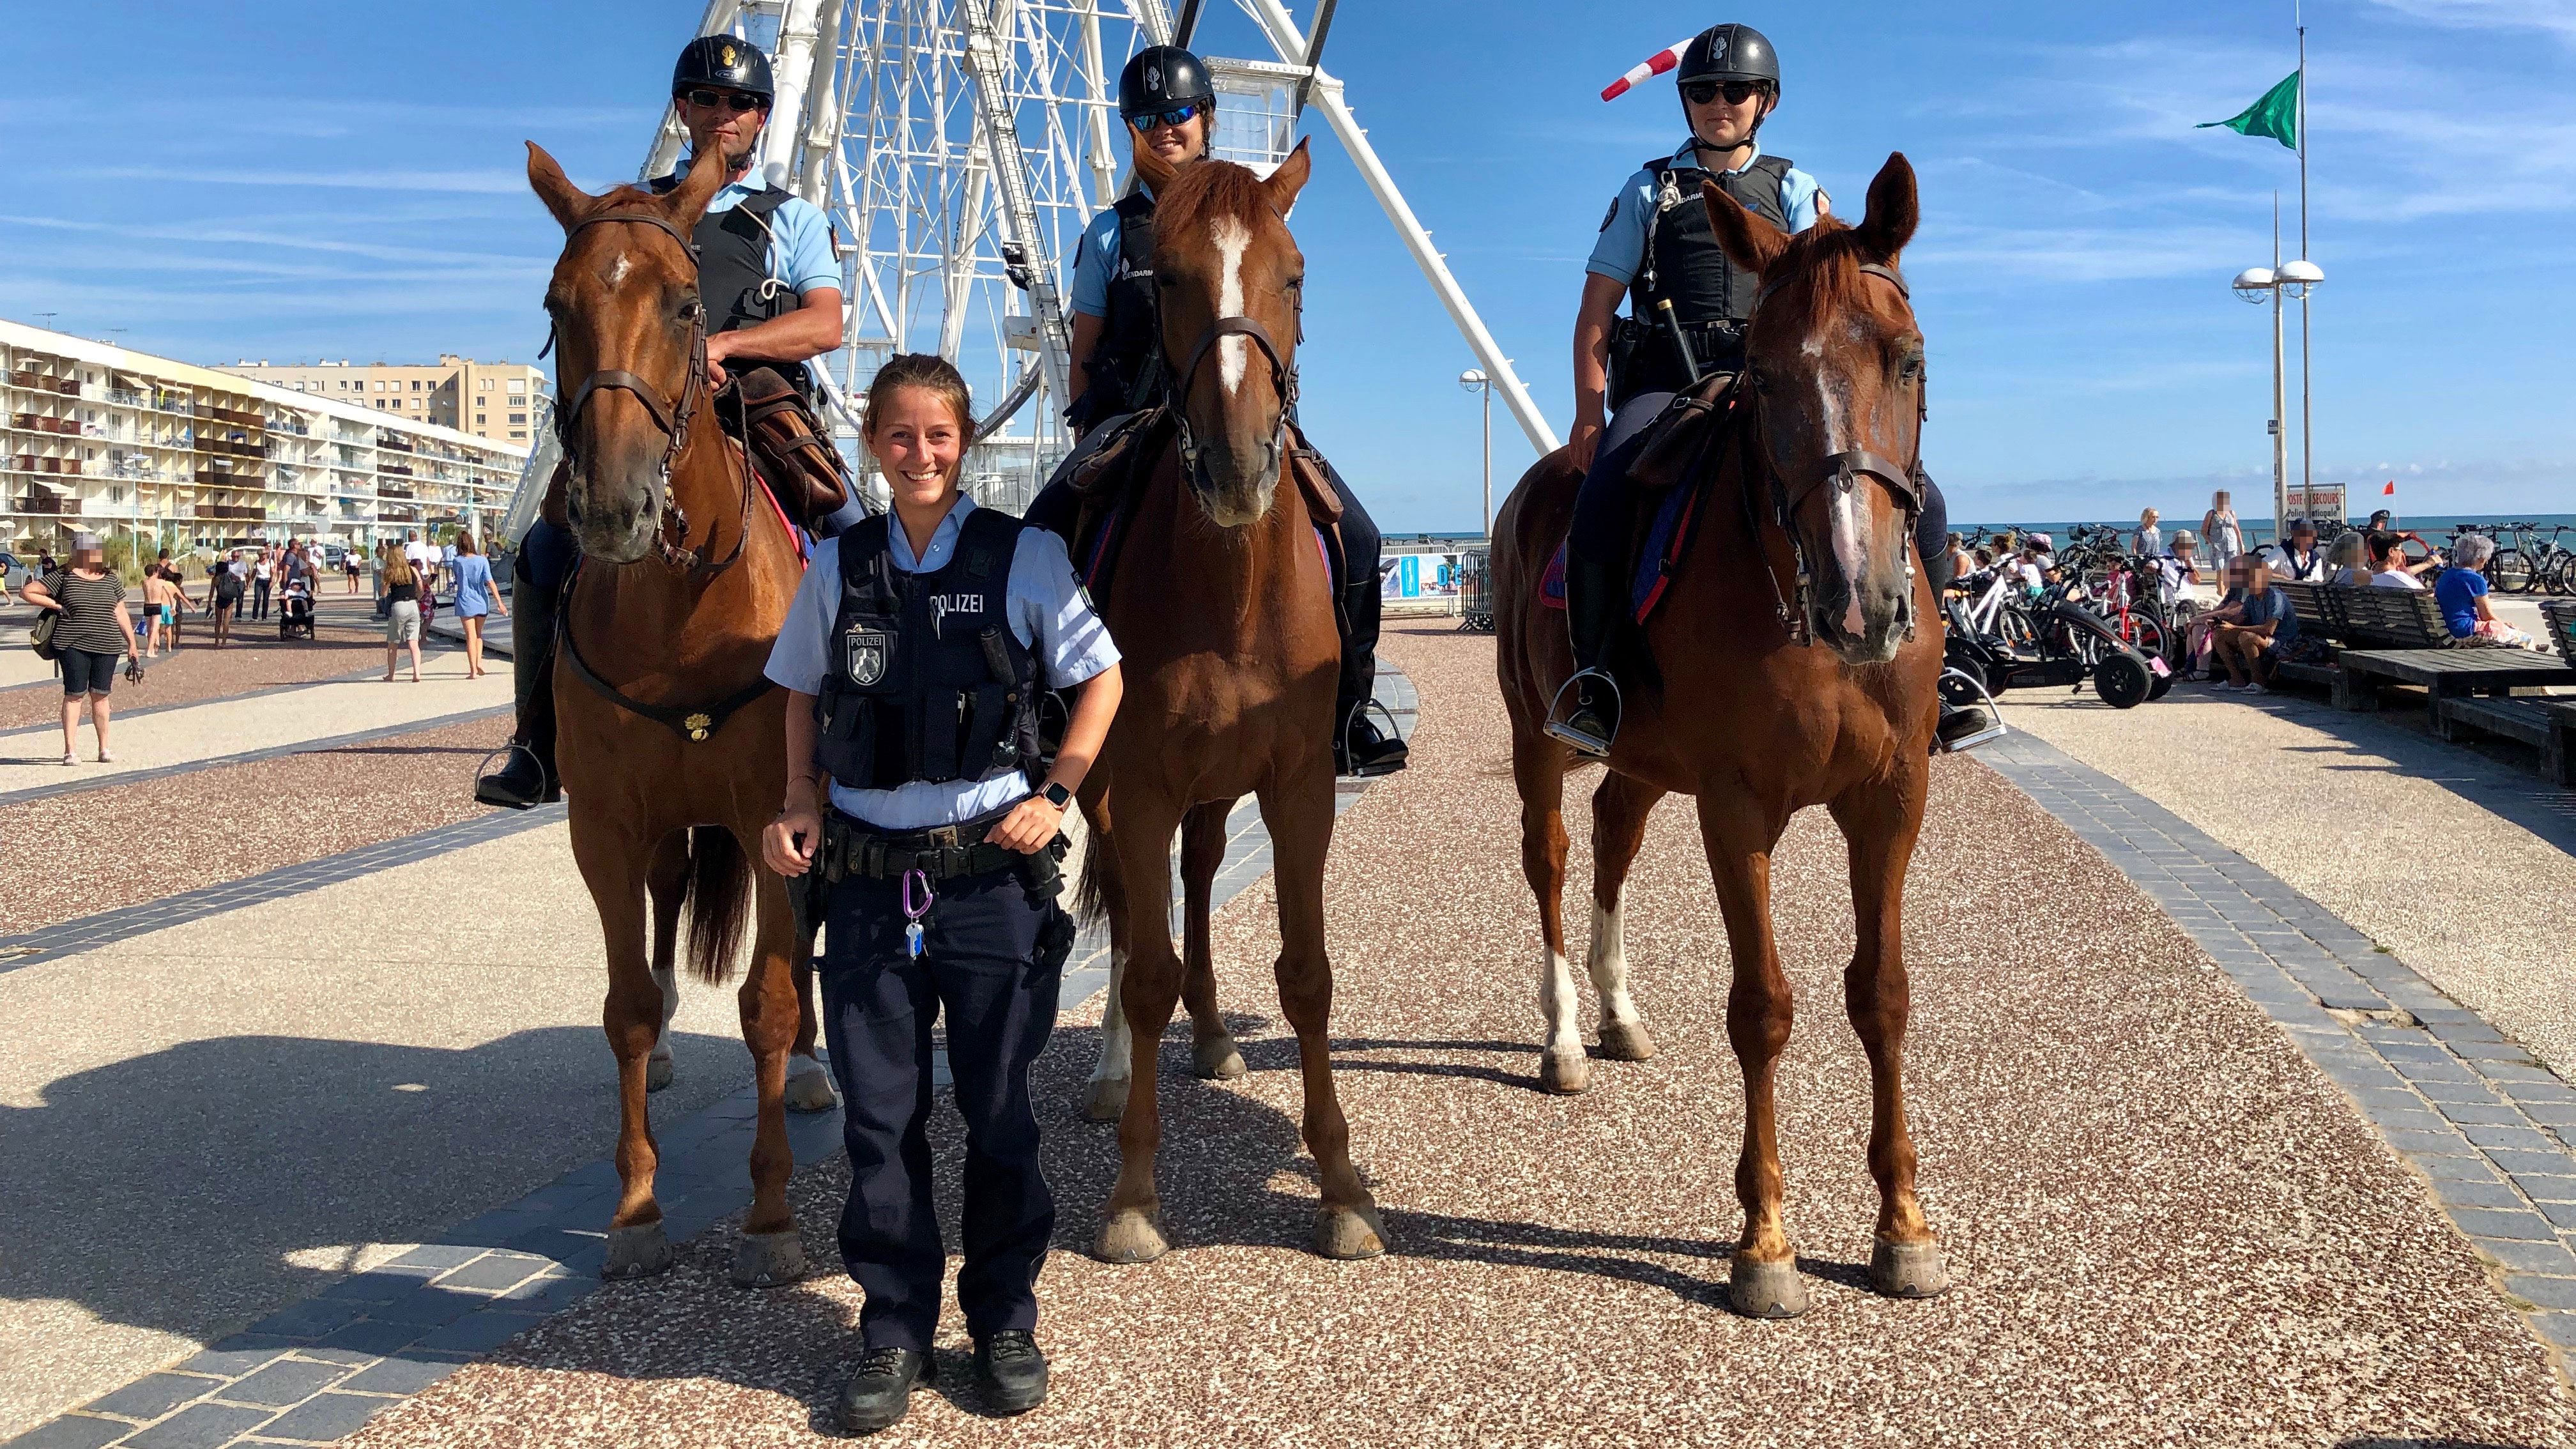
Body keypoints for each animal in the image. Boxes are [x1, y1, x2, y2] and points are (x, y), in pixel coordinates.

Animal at [528, 141, 829, 1278]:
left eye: (688, 305)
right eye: (556, 304)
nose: (613, 507)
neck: (680, 613)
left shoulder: (779, 819)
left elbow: (770, 1005)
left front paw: (774, 1212)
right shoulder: (606, 826)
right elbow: (626, 1007)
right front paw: (637, 1208)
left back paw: (818, 1072)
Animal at [1066, 141, 1391, 1258]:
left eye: (1294, 277)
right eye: (1164, 279)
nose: (1240, 465)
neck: (1233, 589)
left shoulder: (1300, 788)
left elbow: (1309, 974)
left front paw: (1341, 1188)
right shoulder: (1137, 786)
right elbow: (1143, 969)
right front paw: (1132, 1196)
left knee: (1200, 877)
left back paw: (1209, 1037)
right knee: (1134, 922)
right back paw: (1115, 1067)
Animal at [1504, 152, 1937, 1315]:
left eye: (1908, 360)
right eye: (1768, 377)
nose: (1859, 604)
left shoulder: (1891, 800)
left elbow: (1880, 994)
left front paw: (1903, 1224)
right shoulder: (1739, 806)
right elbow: (1762, 1008)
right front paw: (1765, 1239)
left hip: (1650, 764)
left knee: (1615, 834)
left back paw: (1618, 1012)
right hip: (1537, 742)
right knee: (1554, 860)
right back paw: (1566, 1034)